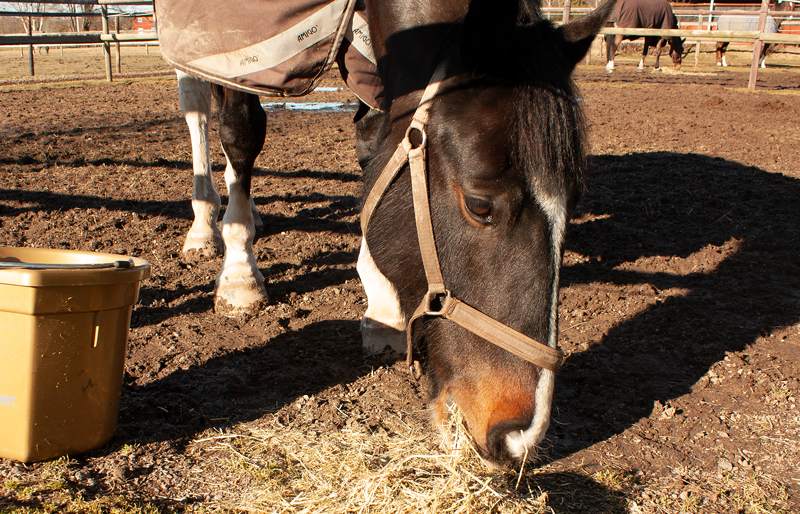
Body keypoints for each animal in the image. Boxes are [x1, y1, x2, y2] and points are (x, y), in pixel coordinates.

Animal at [162, 0, 612, 464]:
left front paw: (381, 309)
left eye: (574, 201)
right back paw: (205, 228)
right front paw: (239, 275)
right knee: (196, 102)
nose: (519, 437)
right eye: (479, 204)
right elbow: (241, 131)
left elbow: (372, 142)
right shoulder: (236, 35)